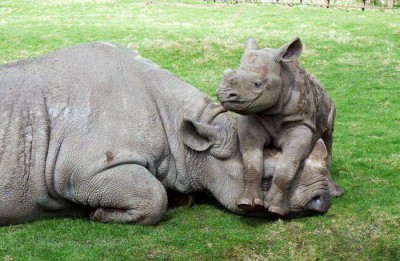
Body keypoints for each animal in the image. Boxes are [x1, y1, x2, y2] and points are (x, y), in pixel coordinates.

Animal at [217, 36, 342, 215]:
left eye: (257, 84)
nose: (224, 94)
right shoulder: (252, 119)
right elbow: (251, 162)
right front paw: (247, 203)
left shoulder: (301, 124)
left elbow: (287, 166)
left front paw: (275, 209)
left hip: (330, 104)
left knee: (328, 137)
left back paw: (336, 193)